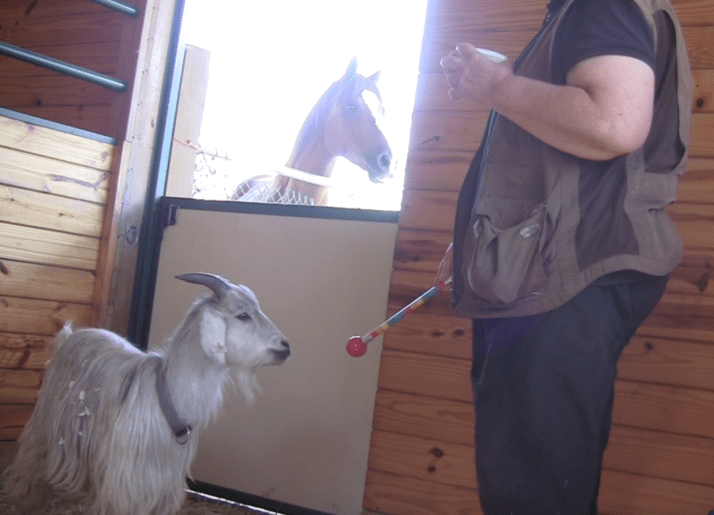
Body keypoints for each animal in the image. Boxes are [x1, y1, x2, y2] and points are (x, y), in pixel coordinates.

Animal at [2, 273, 290, 515]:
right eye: (243, 315)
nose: (286, 347)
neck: (168, 396)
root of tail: (69, 336)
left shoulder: (164, 487)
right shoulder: (125, 483)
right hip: (44, 425)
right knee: (30, 462)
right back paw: (24, 502)